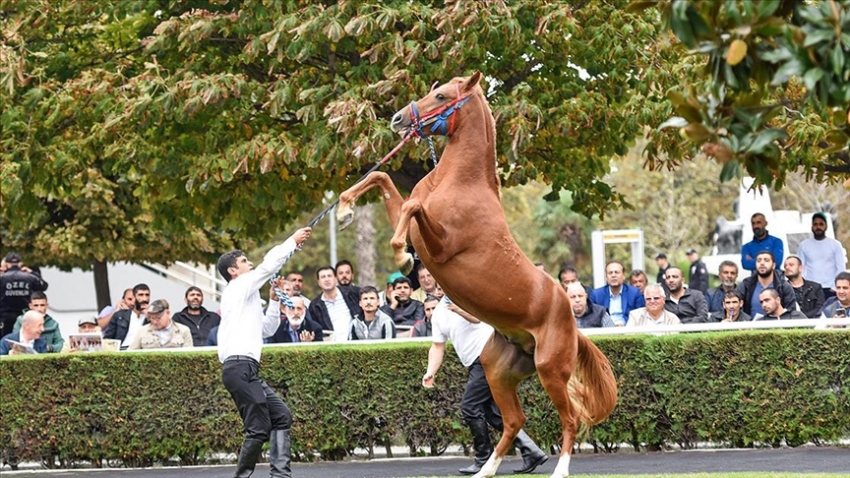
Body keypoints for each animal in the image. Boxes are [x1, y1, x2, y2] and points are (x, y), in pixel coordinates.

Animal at [334, 72, 612, 478]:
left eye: (441, 95)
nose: (398, 119)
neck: (458, 182)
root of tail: (571, 322)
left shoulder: (440, 246)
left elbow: (412, 207)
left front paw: (401, 256)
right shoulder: (418, 230)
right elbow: (384, 179)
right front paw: (343, 211)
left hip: (550, 370)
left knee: (571, 419)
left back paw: (558, 470)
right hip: (499, 372)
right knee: (513, 420)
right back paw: (485, 470)